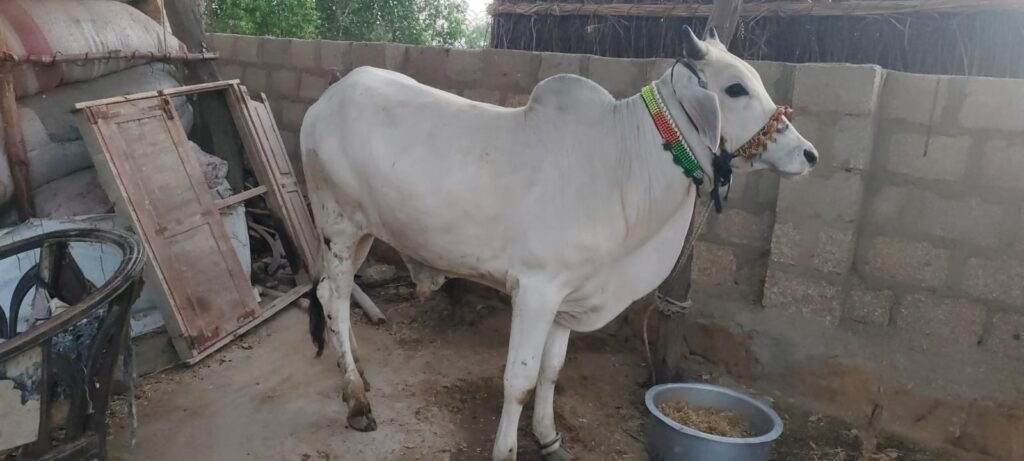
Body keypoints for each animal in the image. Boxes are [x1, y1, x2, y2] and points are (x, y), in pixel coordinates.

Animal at [299, 26, 818, 461]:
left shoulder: (571, 295)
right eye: (735, 88)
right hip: (339, 225)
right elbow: (520, 379)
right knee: (337, 296)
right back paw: (357, 401)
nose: (808, 153)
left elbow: (552, 370)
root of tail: (326, 99)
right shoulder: (536, 290)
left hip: (364, 232)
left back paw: (357, 373)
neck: (626, 159)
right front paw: (506, 450)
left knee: (329, 296)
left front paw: (548, 437)